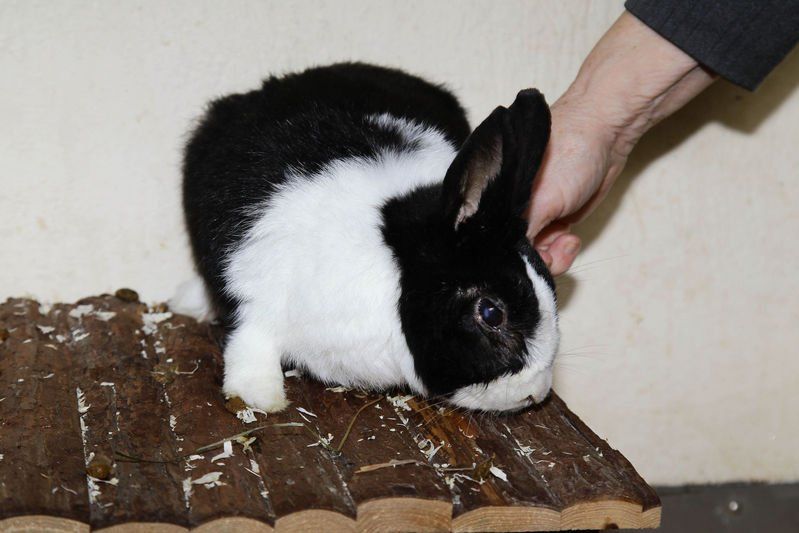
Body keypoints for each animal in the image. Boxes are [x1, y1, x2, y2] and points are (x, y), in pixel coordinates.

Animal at [175, 62, 559, 413]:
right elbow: (251, 344)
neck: (392, 263)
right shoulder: (259, 293)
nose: (535, 393)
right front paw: (261, 397)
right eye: (492, 313)